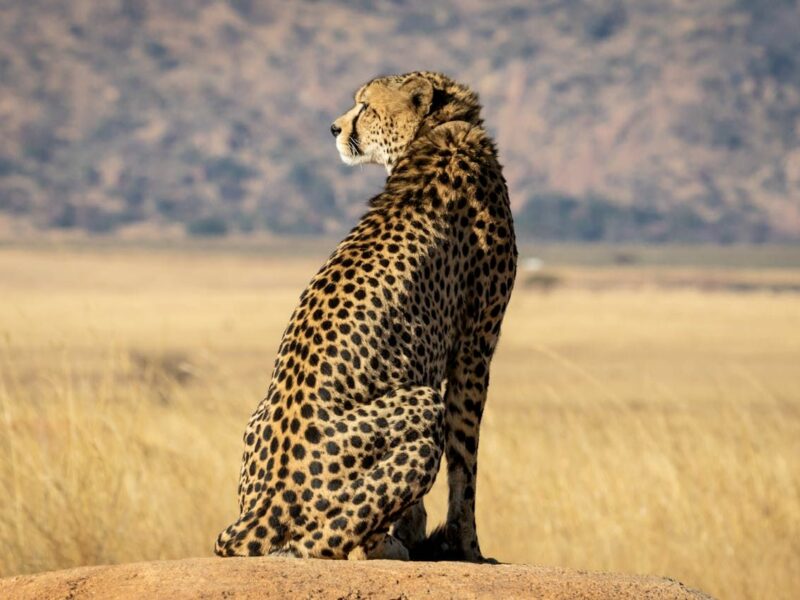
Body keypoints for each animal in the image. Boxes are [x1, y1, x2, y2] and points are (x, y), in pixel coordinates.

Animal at [215, 71, 517, 562]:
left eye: (367, 106)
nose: (333, 128)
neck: (438, 130)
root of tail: (260, 511)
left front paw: (422, 531)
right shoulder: (475, 346)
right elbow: (464, 462)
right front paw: (468, 549)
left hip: (256, 416)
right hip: (421, 402)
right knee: (325, 544)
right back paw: (386, 546)